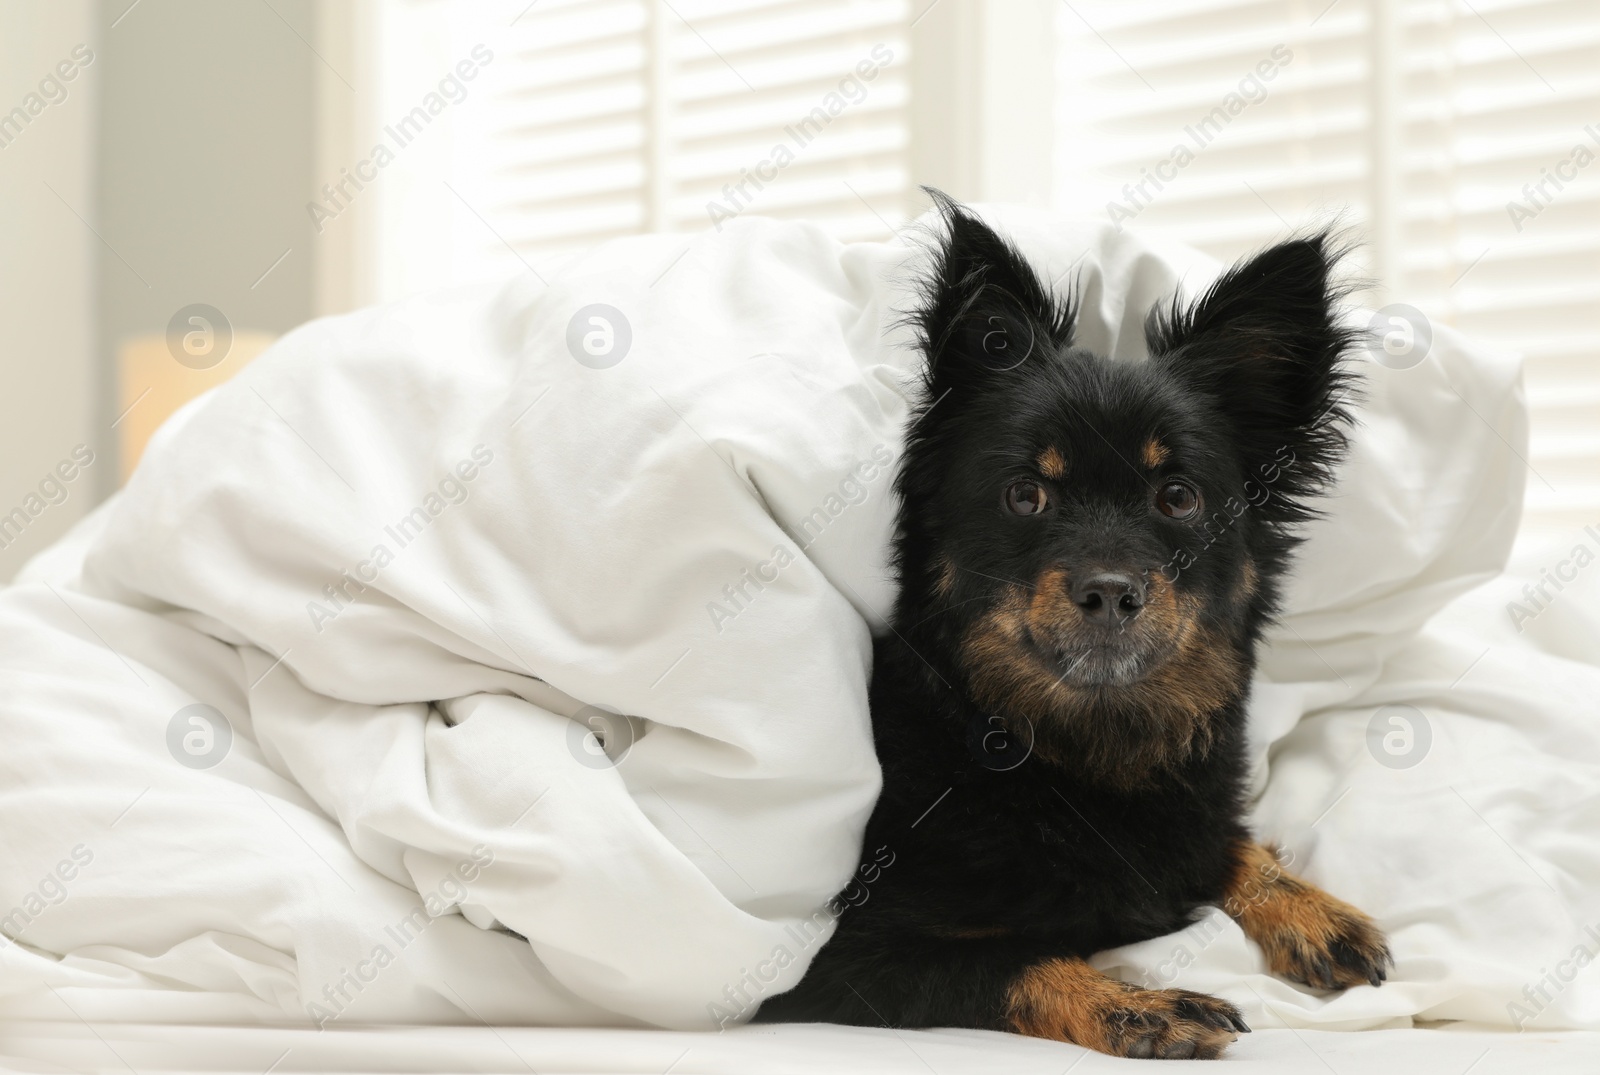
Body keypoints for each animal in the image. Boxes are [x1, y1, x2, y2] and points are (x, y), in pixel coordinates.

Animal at [755, 197, 1395, 1062]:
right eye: (1026, 495)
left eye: (1179, 497)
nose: (1110, 592)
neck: (1069, 750)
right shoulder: (826, 962)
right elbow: (1013, 960)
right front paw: (1141, 1005)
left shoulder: (1185, 819)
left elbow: (1217, 839)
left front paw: (1309, 906)